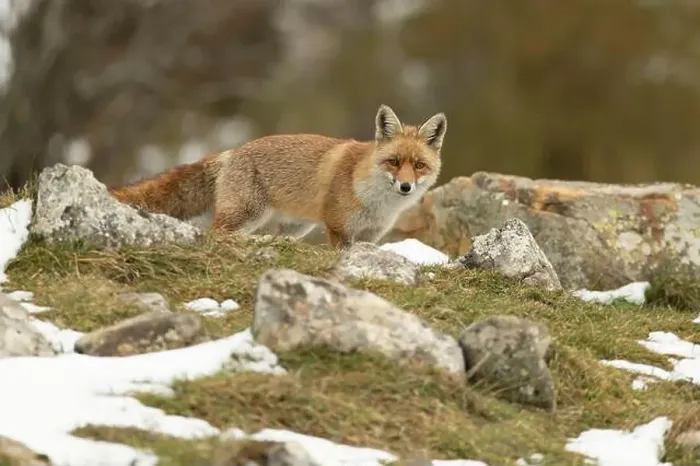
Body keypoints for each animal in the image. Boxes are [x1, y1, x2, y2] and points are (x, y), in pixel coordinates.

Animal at [109, 104, 447, 248]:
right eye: (394, 162)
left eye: (419, 165)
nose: (405, 187)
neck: (378, 203)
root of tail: (232, 151)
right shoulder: (339, 229)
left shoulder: (370, 236)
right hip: (246, 214)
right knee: (217, 234)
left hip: (294, 228)